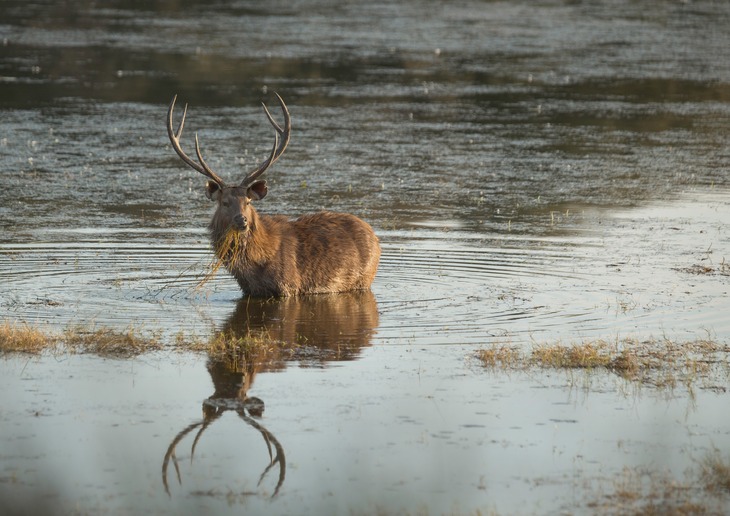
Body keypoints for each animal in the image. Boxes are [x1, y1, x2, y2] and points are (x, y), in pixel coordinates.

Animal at [166, 92, 382, 294]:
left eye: (248, 201)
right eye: (224, 202)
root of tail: (375, 236)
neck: (254, 265)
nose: (242, 220)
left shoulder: (289, 287)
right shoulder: (249, 291)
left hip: (364, 279)